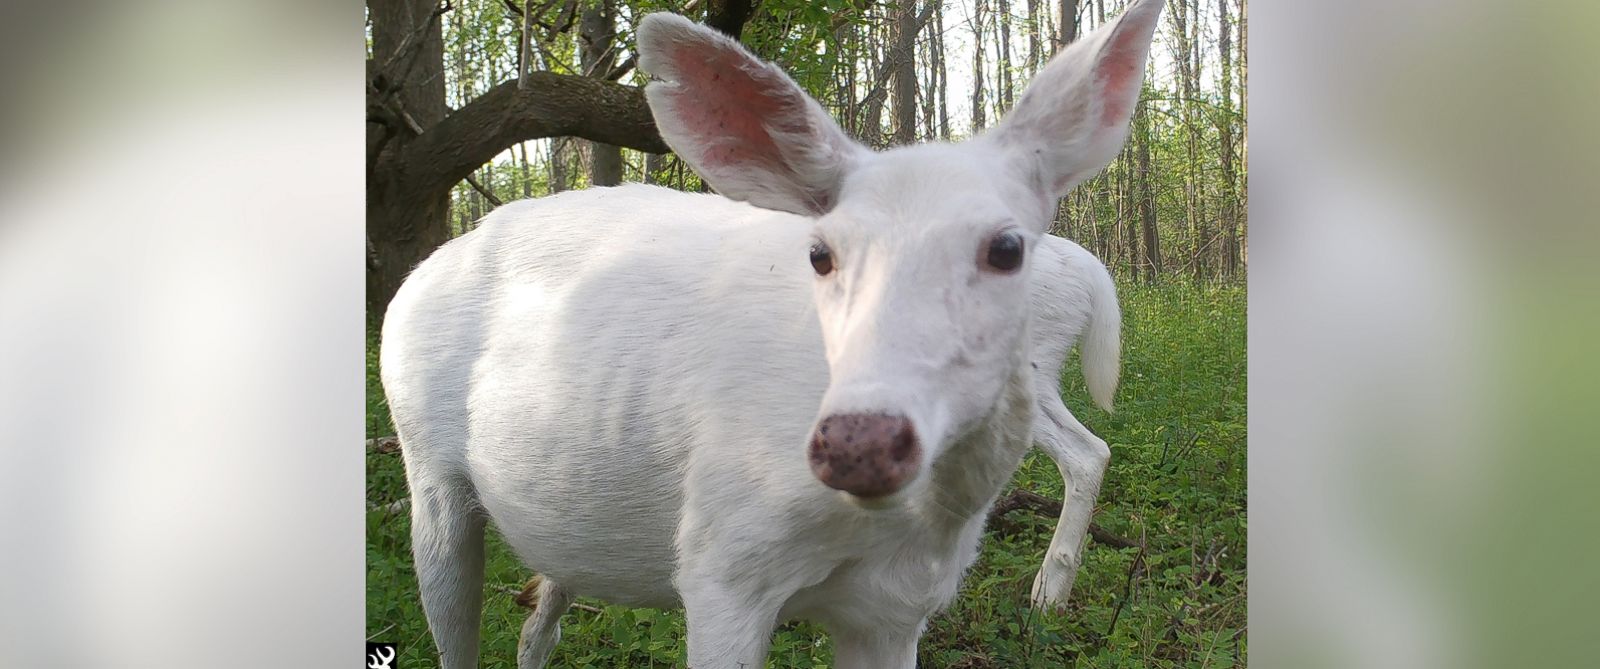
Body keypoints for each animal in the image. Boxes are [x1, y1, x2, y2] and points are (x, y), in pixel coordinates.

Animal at [384, 2, 1164, 665]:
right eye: (820, 253)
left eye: (1006, 247)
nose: (858, 441)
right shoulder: (720, 561)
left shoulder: (897, 605)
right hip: (427, 462)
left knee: (535, 619)